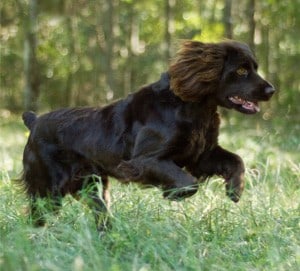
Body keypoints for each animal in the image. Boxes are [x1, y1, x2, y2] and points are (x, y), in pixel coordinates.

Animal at [21, 40, 274, 232]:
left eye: (254, 67)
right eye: (241, 70)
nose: (271, 90)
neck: (193, 107)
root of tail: (35, 121)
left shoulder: (201, 155)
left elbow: (236, 160)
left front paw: (235, 189)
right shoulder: (147, 160)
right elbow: (189, 182)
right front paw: (173, 194)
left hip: (92, 185)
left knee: (99, 210)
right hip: (49, 187)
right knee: (38, 213)